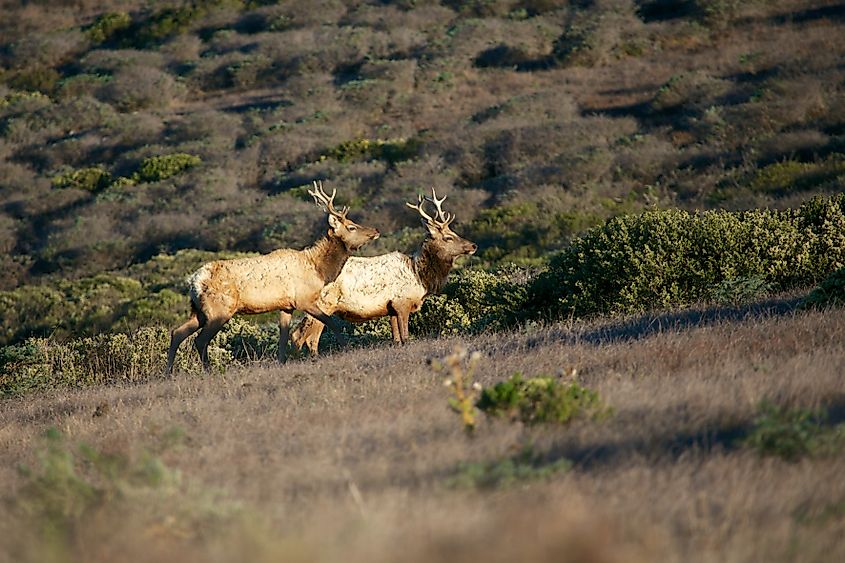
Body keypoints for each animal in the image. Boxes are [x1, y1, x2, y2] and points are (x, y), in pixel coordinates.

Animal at [166, 181, 380, 372]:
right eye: (351, 227)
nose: (376, 230)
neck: (318, 270)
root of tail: (194, 281)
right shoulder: (304, 299)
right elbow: (331, 322)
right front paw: (347, 346)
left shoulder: (286, 306)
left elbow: (283, 337)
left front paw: (282, 361)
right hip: (219, 309)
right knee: (200, 340)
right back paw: (209, 370)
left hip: (199, 311)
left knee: (177, 332)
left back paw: (169, 372)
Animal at [290, 188, 477, 355]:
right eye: (448, 237)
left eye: (453, 232)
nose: (473, 245)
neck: (420, 277)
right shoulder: (402, 303)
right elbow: (406, 338)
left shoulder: (391, 308)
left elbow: (396, 340)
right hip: (324, 304)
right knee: (305, 336)